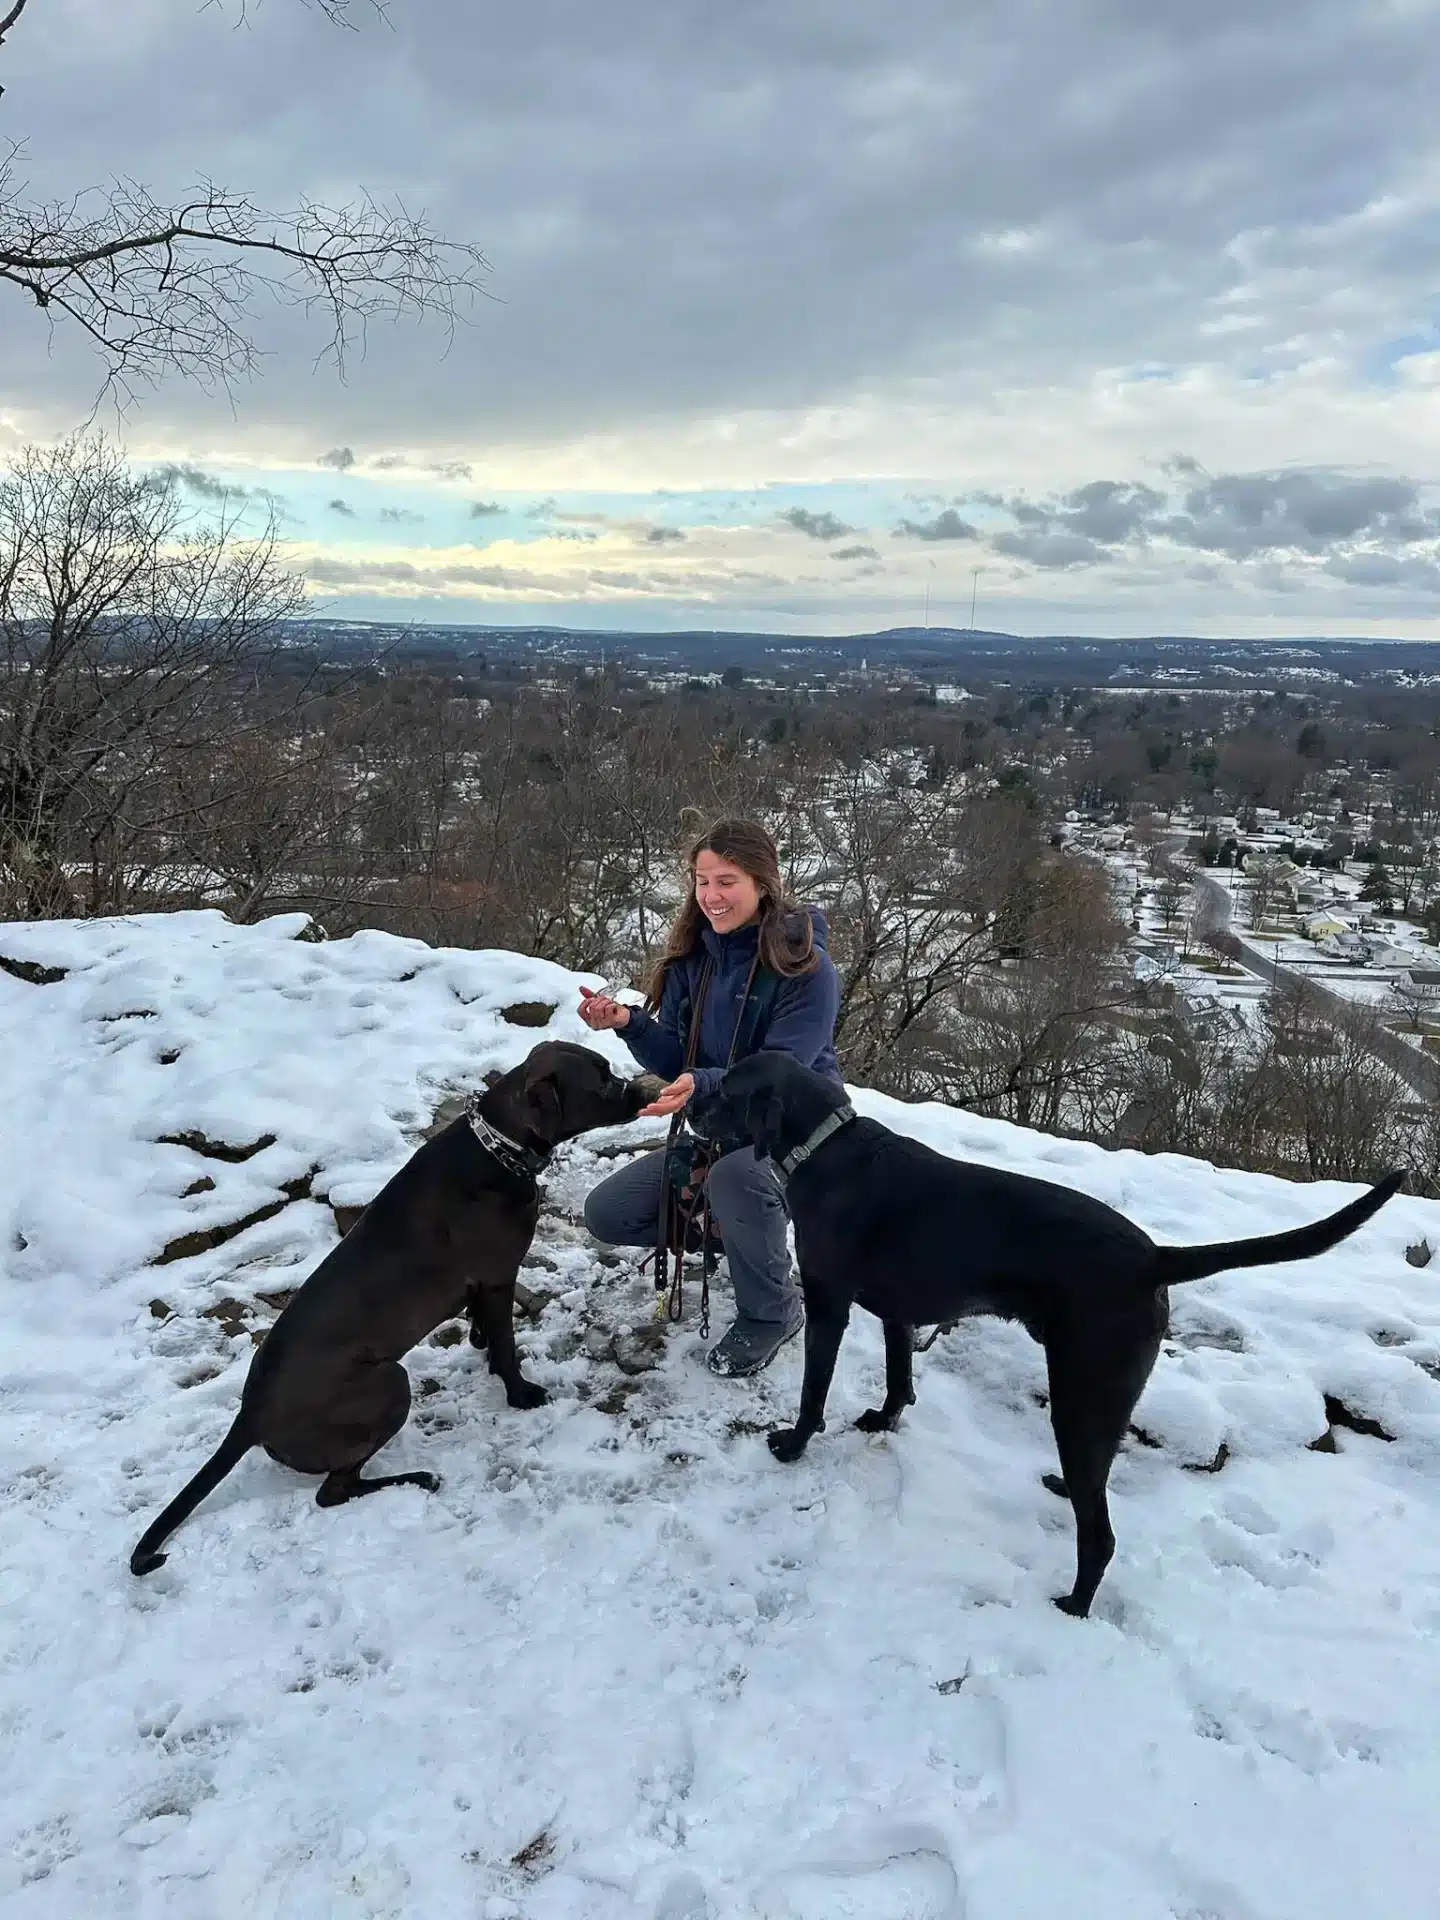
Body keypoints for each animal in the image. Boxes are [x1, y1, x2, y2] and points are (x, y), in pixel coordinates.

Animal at [132, 1052, 656, 1574]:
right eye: (602, 1080)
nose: (643, 1091)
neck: (497, 1147)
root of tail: (249, 1417)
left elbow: (485, 1331)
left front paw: (482, 1348)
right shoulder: (497, 1277)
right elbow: (506, 1348)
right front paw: (520, 1393)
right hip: (388, 1383)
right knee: (333, 1491)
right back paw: (416, 1478)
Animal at [695, 1052, 1405, 1620]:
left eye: (728, 1089)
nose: (691, 1100)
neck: (823, 1148)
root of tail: (1155, 1258)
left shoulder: (829, 1303)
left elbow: (814, 1390)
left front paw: (792, 1445)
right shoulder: (900, 1312)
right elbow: (900, 1379)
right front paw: (882, 1419)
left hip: (1080, 1392)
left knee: (1102, 1534)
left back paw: (1074, 1605)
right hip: (1104, 1402)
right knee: (1097, 1484)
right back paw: (1066, 1492)